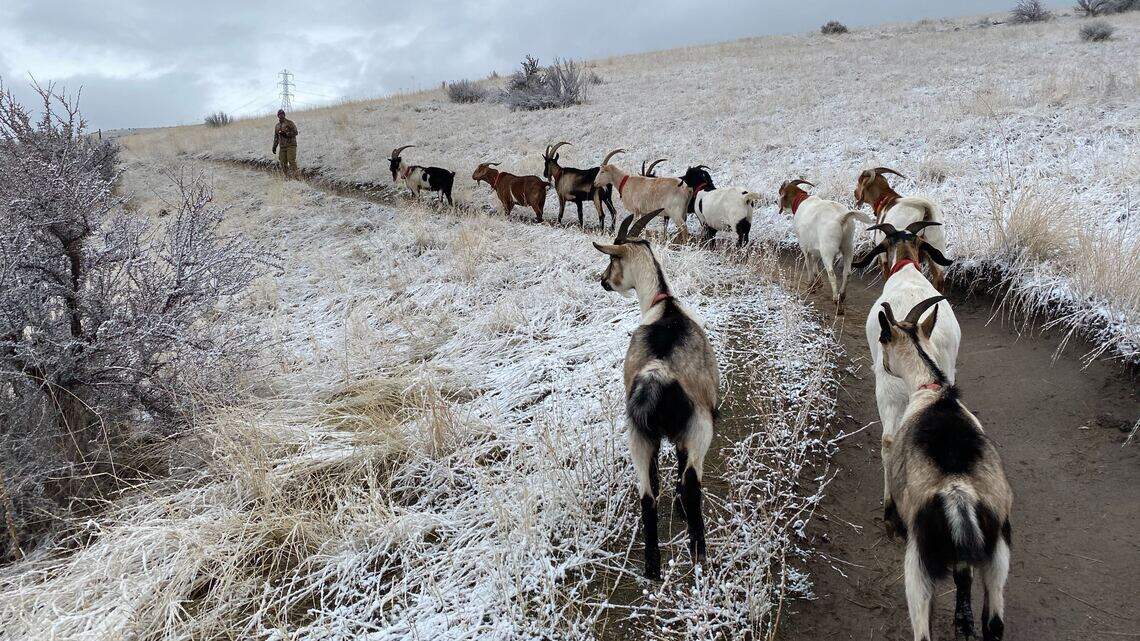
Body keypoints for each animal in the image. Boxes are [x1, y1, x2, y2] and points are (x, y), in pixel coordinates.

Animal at [594, 211, 719, 580]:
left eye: (611, 260)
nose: (602, 281)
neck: (664, 305)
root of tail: (657, 374)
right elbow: (680, 464)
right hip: (700, 429)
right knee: (692, 484)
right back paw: (698, 553)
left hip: (638, 434)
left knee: (647, 495)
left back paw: (652, 565)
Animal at [778, 179, 873, 314]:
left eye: (781, 192)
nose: (777, 203)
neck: (801, 201)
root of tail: (841, 218)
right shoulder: (816, 247)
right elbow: (815, 260)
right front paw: (818, 282)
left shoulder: (805, 246)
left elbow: (808, 263)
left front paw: (811, 285)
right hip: (848, 247)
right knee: (847, 272)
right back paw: (842, 295)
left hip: (827, 251)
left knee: (832, 274)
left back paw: (836, 302)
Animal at [876, 295, 1013, 641]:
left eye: (884, 340)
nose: (885, 365)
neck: (934, 391)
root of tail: (958, 491)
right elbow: (963, 577)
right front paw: (961, 621)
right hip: (998, 553)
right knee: (995, 622)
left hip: (918, 562)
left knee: (922, 631)